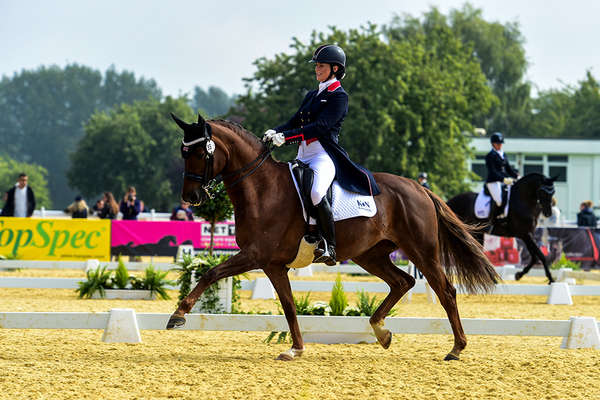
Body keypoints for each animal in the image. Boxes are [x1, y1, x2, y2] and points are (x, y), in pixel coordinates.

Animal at [165, 114, 496, 360]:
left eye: (199, 152)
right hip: (370, 254)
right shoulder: (273, 265)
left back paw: (456, 348)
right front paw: (296, 348)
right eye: (182, 152)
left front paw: (178, 315)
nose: (190, 197)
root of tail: (420, 188)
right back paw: (381, 331)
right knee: (403, 282)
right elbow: (288, 306)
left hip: (421, 250)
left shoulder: (257, 255)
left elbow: (211, 273)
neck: (261, 188)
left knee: (445, 291)